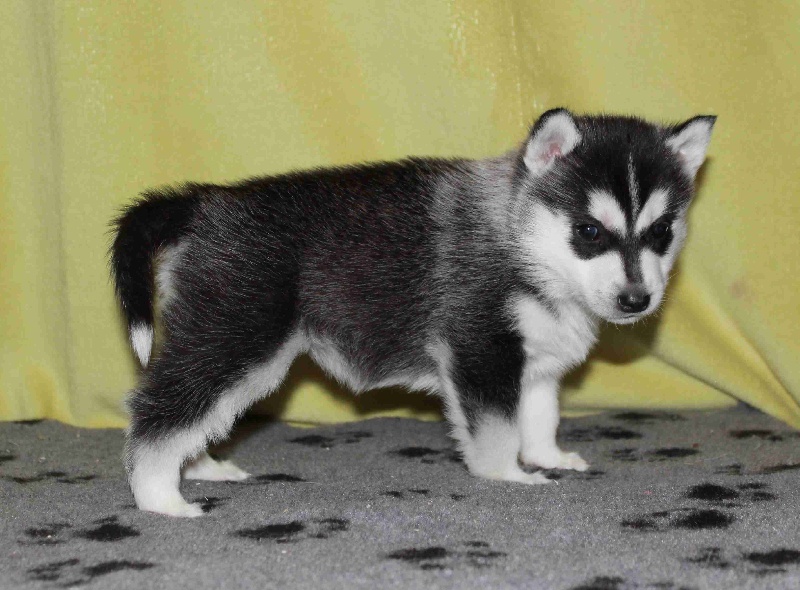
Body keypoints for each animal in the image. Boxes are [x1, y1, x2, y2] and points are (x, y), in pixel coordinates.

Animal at [111, 108, 715, 517]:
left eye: (662, 232)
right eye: (589, 232)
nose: (636, 300)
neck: (520, 240)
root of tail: (207, 201)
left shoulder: (534, 362)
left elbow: (539, 414)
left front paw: (546, 456)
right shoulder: (480, 347)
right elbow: (497, 428)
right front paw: (508, 475)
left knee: (196, 413)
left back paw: (202, 469)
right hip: (237, 334)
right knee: (162, 412)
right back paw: (161, 497)